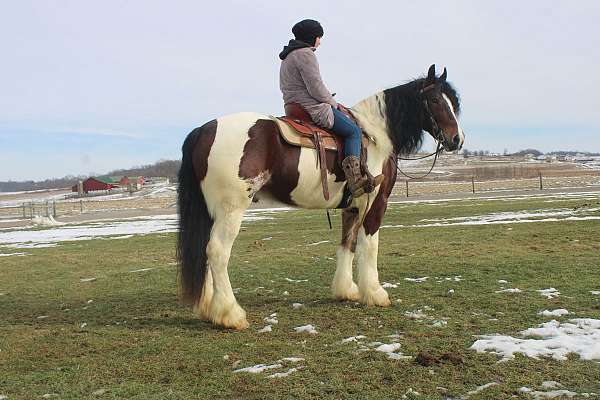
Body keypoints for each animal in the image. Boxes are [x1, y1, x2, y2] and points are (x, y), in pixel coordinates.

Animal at [175, 64, 464, 330]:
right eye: (435, 100)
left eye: (453, 102)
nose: (457, 139)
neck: (374, 136)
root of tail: (204, 130)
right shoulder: (375, 203)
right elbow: (369, 245)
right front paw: (375, 293)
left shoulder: (351, 207)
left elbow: (347, 244)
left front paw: (346, 290)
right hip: (231, 208)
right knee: (217, 251)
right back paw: (230, 314)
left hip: (212, 211)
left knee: (205, 251)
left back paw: (208, 307)